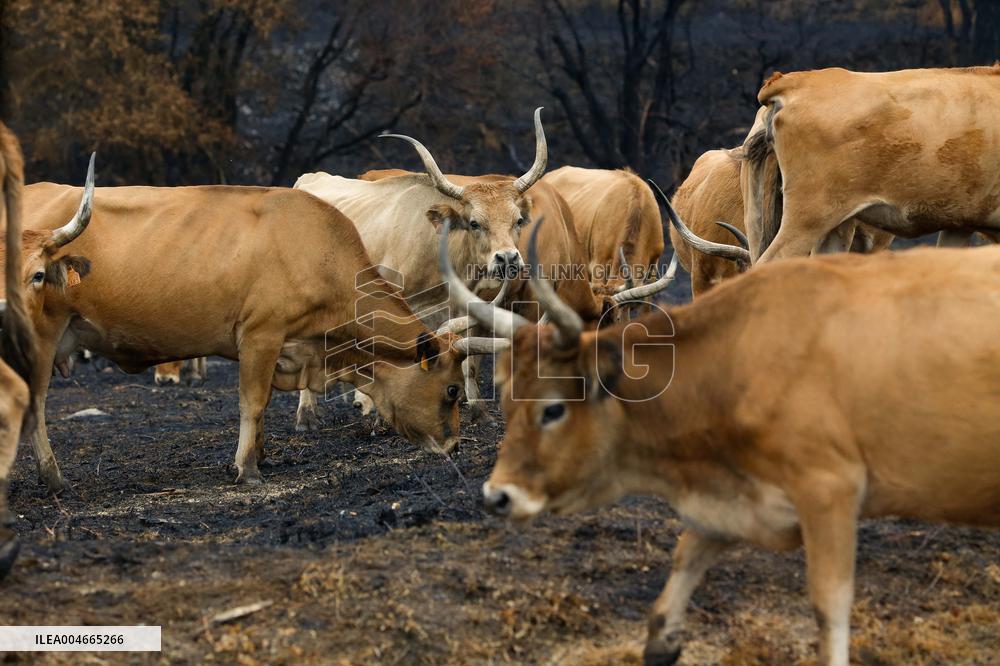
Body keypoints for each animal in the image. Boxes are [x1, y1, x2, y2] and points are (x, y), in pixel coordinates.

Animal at [19, 182, 501, 491]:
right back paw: (53, 477)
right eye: (452, 390)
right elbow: (252, 402)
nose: (455, 446)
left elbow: (265, 403)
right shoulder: (260, 334)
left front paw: (264, 453)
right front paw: (248, 467)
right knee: (35, 405)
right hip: (39, 337)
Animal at [444, 208, 1000, 666]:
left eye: (554, 408)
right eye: (508, 403)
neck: (741, 355)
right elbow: (685, 557)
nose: (497, 496)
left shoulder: (830, 491)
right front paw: (663, 638)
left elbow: (830, 607)